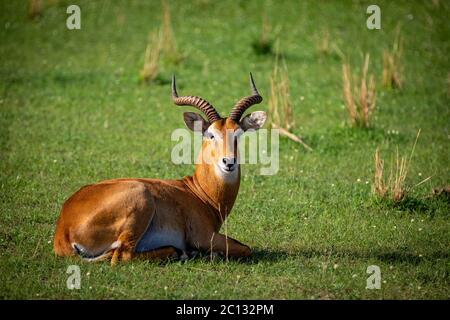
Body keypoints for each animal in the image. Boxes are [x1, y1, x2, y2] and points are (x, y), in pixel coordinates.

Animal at [52, 73, 266, 264]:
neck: (200, 193)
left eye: (238, 134)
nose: (228, 162)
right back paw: (182, 253)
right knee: (122, 255)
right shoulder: (204, 236)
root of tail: (63, 230)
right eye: (211, 134)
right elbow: (245, 248)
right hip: (140, 202)